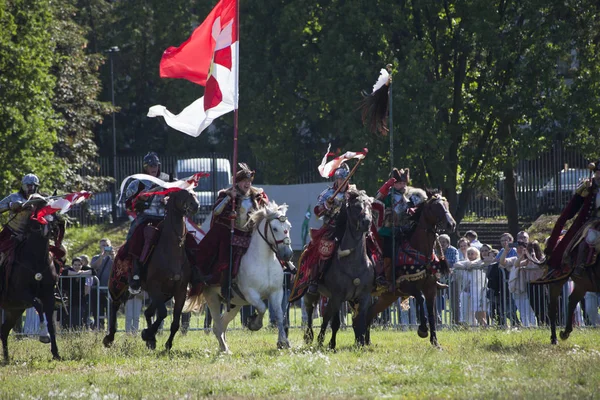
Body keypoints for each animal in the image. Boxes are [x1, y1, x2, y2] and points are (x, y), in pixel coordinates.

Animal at [0, 200, 62, 362]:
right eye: (39, 214)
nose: (52, 229)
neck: (36, 259)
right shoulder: (22, 295)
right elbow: (38, 305)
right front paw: (43, 335)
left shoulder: (48, 296)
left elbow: (51, 323)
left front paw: (56, 353)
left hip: (14, 310)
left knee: (3, 331)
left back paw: (7, 358)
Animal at [102, 190, 198, 350]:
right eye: (181, 194)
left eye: (193, 192)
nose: (195, 205)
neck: (171, 250)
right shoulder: (155, 287)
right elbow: (163, 313)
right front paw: (147, 333)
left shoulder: (179, 291)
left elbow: (174, 322)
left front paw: (165, 342)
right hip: (118, 285)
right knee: (114, 306)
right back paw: (109, 337)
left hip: (163, 294)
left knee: (147, 312)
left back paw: (151, 340)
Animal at [185, 202, 292, 352]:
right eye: (275, 228)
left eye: (288, 227)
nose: (287, 254)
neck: (264, 261)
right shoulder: (250, 294)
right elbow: (262, 308)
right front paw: (254, 324)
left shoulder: (276, 292)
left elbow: (279, 315)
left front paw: (283, 342)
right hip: (213, 298)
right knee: (217, 325)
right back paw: (225, 349)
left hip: (234, 304)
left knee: (221, 324)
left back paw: (223, 346)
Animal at [366, 193, 454, 346]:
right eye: (436, 206)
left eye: (447, 204)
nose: (451, 224)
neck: (419, 250)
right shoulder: (405, 285)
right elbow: (420, 299)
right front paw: (422, 330)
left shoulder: (430, 288)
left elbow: (431, 312)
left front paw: (435, 342)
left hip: (387, 297)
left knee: (368, 313)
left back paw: (365, 342)